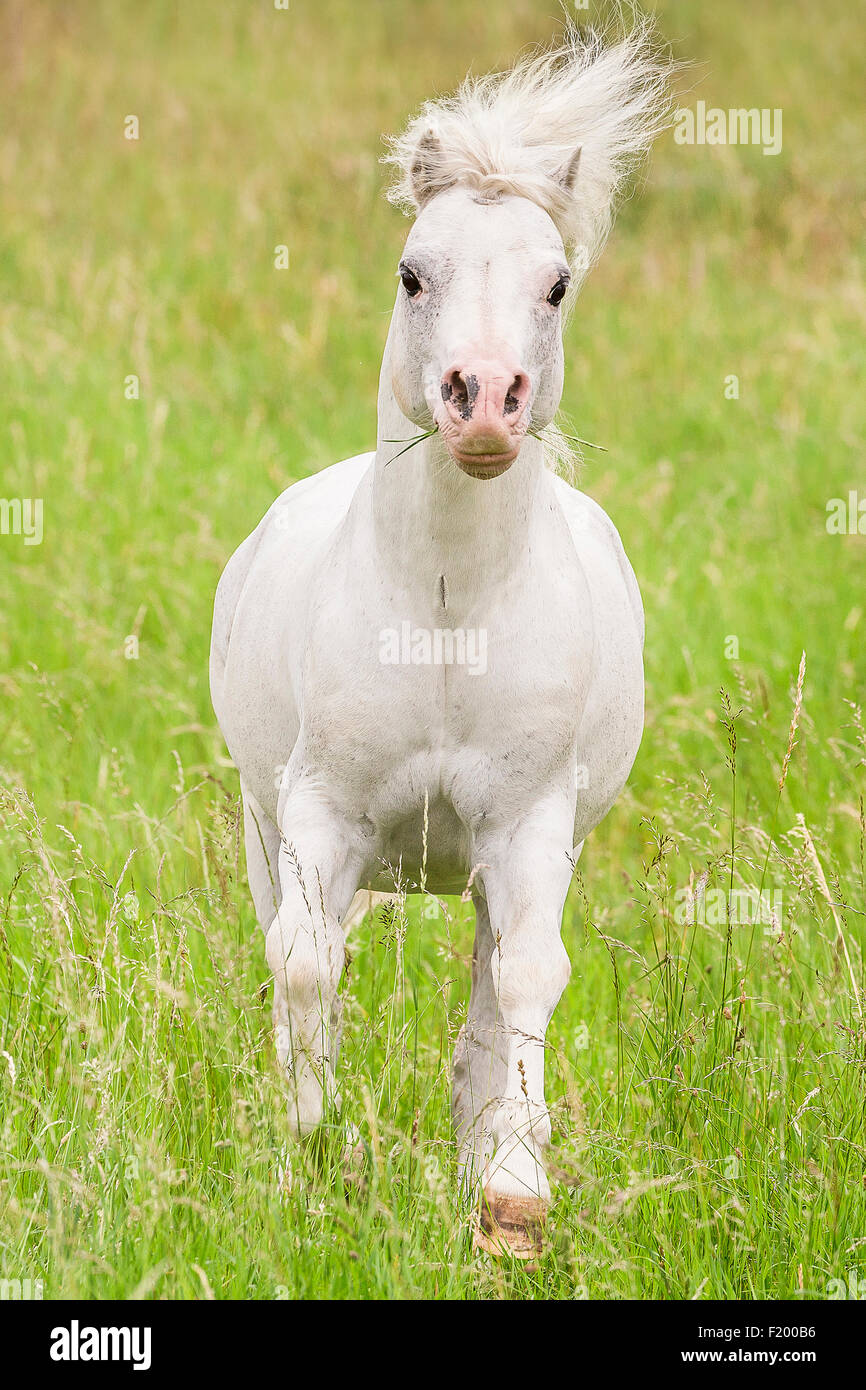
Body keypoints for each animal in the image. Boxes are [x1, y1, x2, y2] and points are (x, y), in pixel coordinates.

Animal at [210, 19, 671, 1258]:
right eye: (412, 272)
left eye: (554, 283)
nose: (482, 399)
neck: (446, 623)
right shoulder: (318, 816)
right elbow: (305, 970)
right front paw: (313, 1159)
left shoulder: (527, 830)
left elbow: (520, 987)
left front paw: (510, 1196)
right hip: (265, 829)